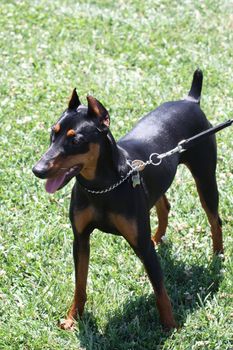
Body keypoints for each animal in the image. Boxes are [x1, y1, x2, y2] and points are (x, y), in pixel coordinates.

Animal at [32, 69, 222, 330]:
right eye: (53, 132)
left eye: (75, 141)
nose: (37, 170)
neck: (101, 187)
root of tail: (190, 100)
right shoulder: (80, 239)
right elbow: (79, 283)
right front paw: (72, 318)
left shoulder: (142, 246)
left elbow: (160, 290)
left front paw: (170, 327)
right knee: (164, 205)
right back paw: (158, 238)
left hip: (205, 178)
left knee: (215, 220)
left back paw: (218, 256)